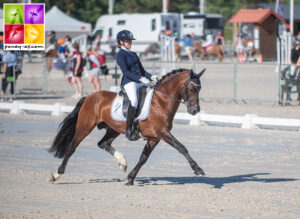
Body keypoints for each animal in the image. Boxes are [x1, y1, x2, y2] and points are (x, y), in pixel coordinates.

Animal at [48, 68, 206, 185]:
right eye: (191, 88)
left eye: (200, 89)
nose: (195, 111)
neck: (161, 102)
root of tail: (89, 97)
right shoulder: (163, 133)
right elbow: (182, 148)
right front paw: (198, 169)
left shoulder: (155, 138)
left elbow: (143, 158)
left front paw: (130, 178)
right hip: (84, 127)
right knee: (71, 148)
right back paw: (56, 174)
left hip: (113, 129)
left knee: (103, 143)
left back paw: (122, 162)